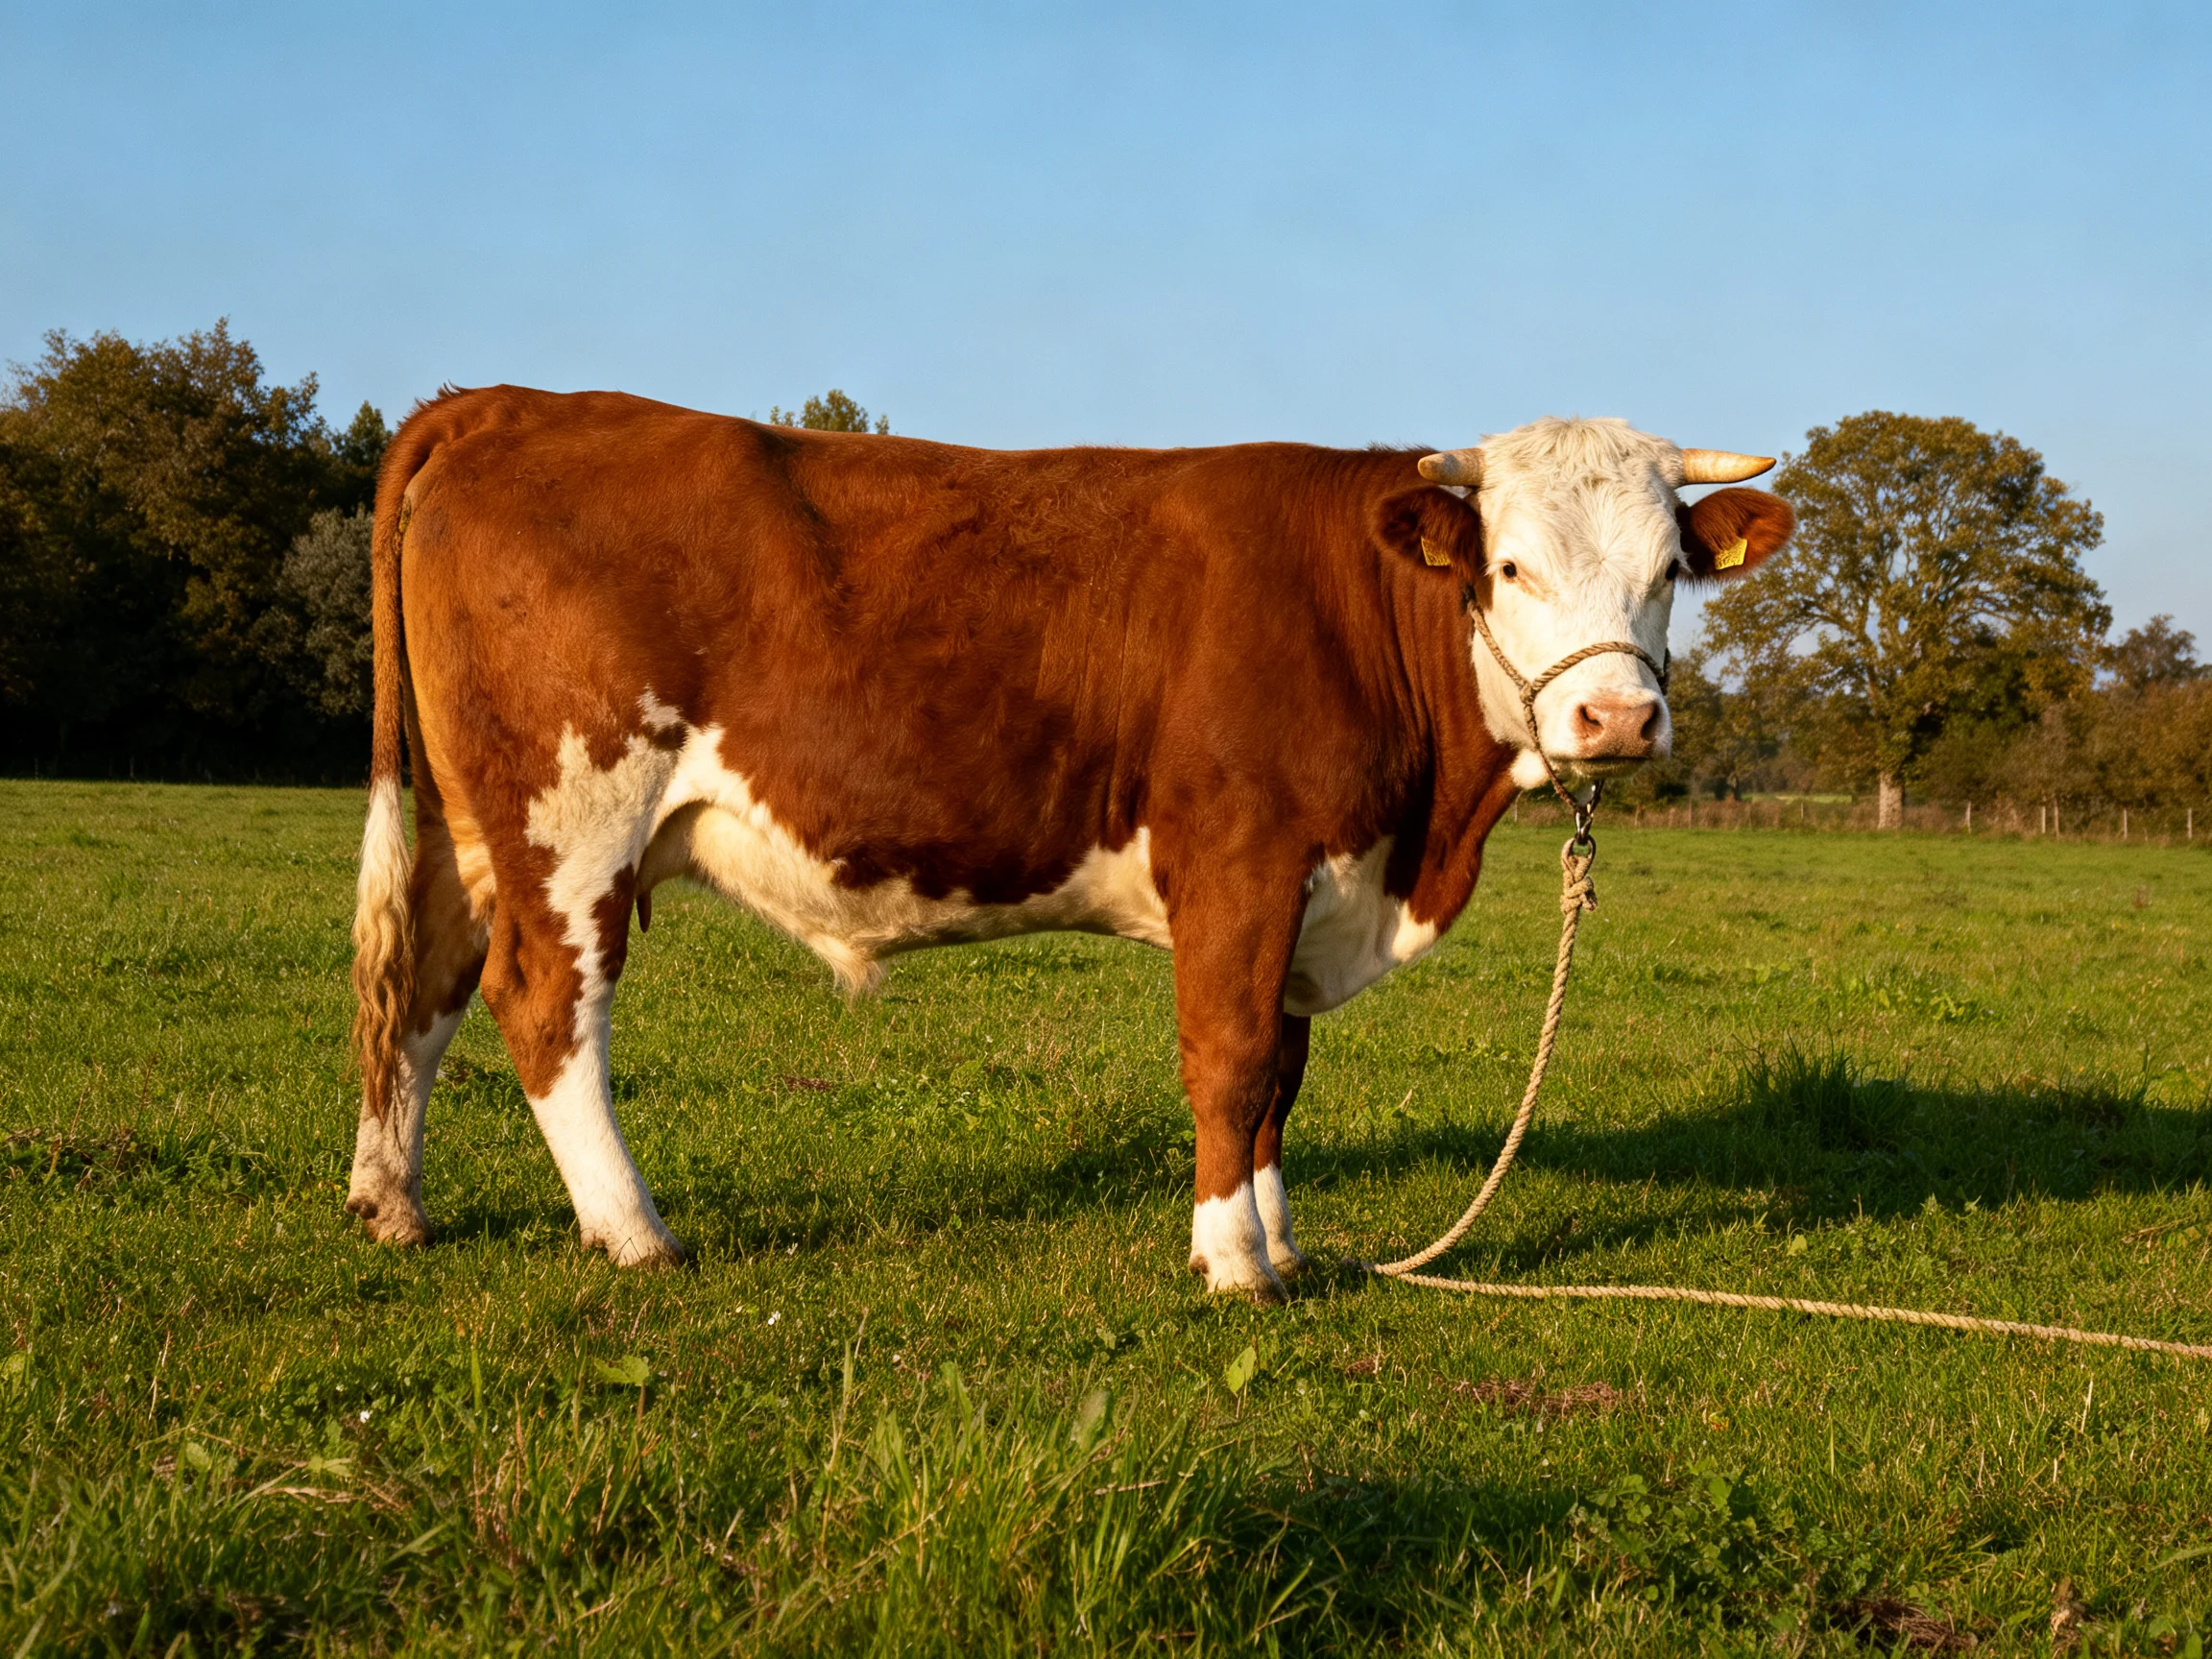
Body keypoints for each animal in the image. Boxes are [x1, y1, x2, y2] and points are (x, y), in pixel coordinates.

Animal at [345, 389, 1793, 1301]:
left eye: (1669, 570)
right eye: (1509, 569)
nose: (1619, 719)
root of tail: (509, 401)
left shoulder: (1310, 885)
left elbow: (1283, 1079)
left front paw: (1282, 1244)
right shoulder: (1240, 863)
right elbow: (1230, 1062)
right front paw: (1232, 1265)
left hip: (474, 831)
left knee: (421, 991)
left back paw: (391, 1204)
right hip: (572, 817)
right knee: (546, 1007)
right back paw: (637, 1234)